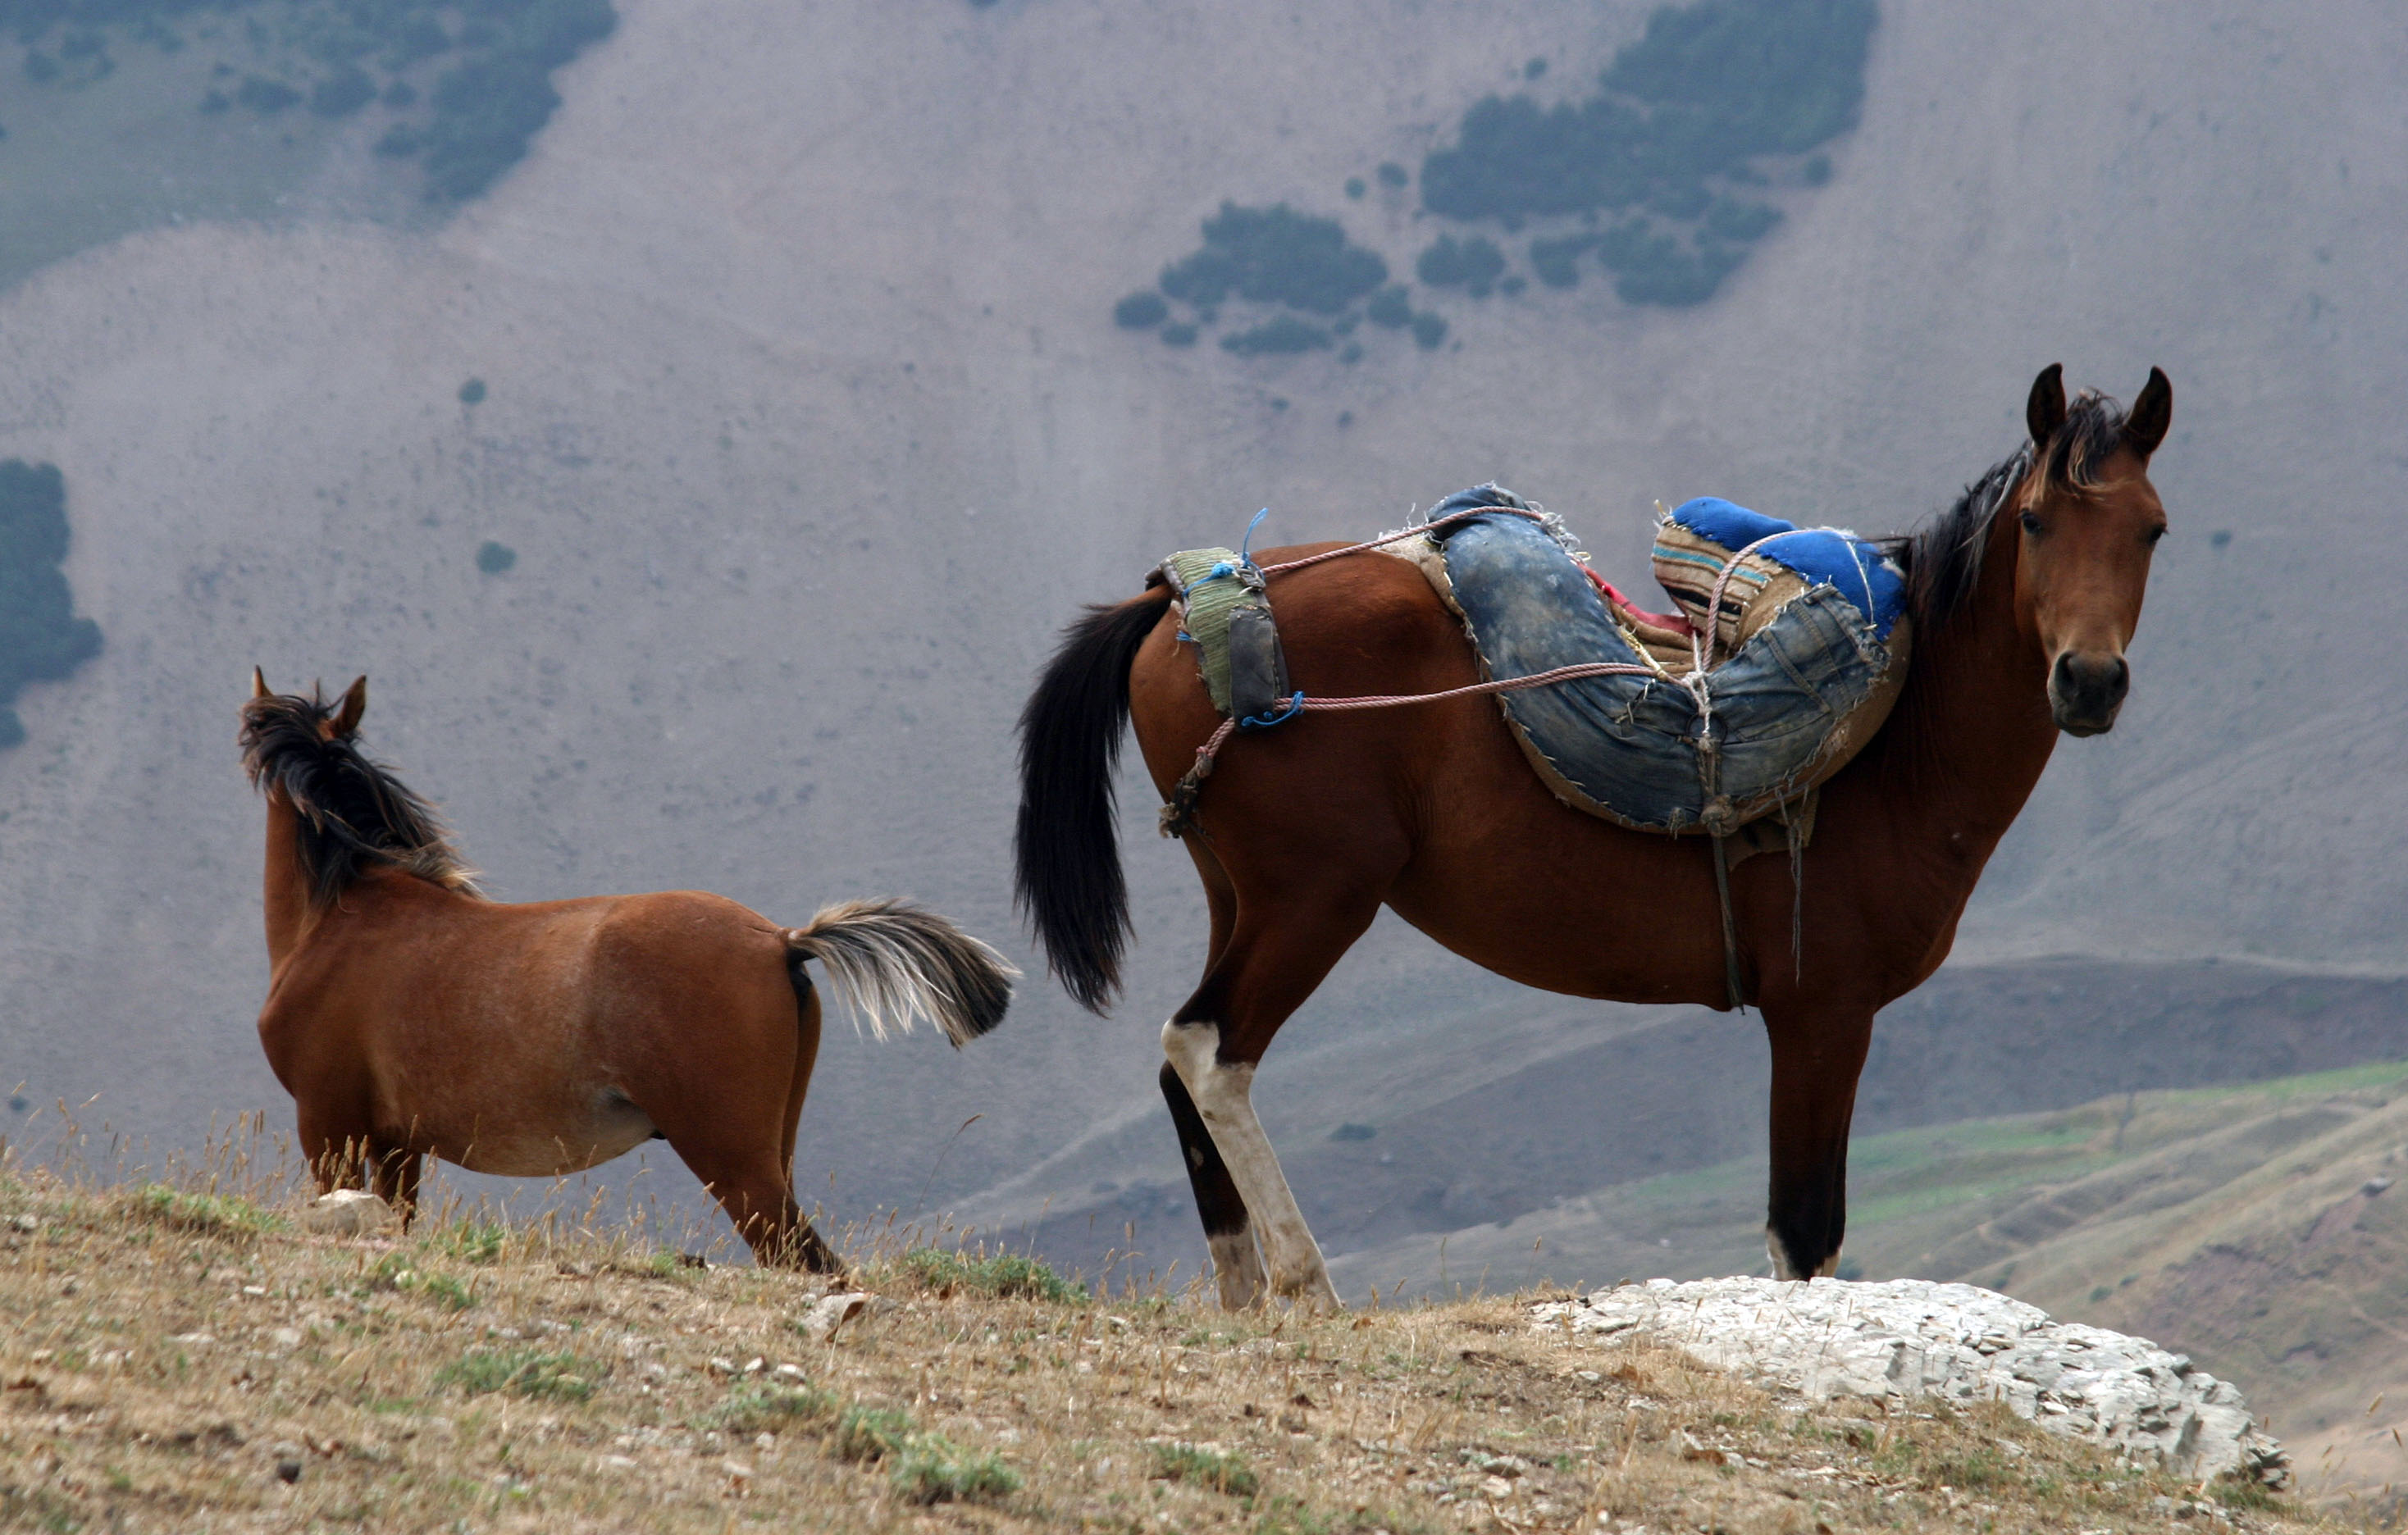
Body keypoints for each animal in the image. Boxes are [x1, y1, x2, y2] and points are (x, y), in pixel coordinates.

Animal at [235, 678, 1006, 1270]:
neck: (344, 915)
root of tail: (782, 942)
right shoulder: (398, 1145)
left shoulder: (329, 1126)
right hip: (772, 1147)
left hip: (731, 1157)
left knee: (801, 1258)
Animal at [1015, 363, 2186, 1309]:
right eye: (2033, 523)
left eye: (2151, 529)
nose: (2087, 681)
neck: (1899, 743)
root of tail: (1179, 601)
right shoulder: (1822, 1013)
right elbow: (1803, 1237)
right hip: (1314, 898)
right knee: (1209, 1050)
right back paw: (1305, 1286)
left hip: (1241, 894)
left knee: (1181, 1066)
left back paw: (1243, 1296)